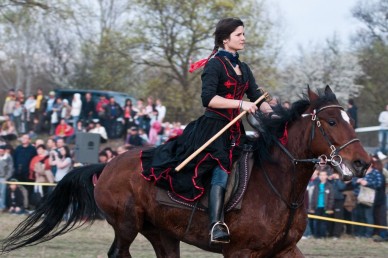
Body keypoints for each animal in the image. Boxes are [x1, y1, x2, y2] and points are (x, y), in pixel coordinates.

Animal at [0, 86, 370, 256]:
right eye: (331, 121)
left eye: (350, 118)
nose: (363, 162)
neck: (280, 186)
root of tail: (107, 164)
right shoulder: (239, 252)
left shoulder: (284, 250)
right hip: (126, 225)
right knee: (118, 253)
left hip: (162, 233)